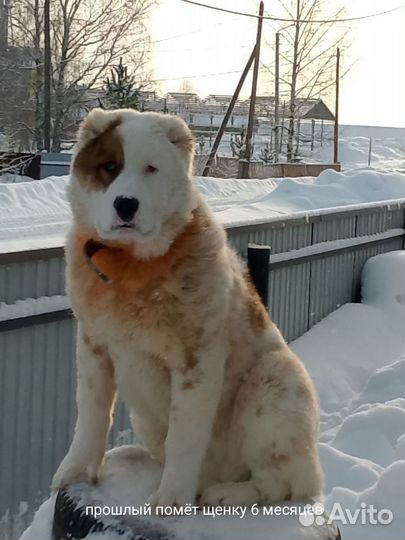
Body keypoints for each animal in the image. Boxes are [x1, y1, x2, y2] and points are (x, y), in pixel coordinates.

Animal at [52, 107, 324, 508]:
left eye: (151, 169)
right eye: (109, 167)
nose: (126, 204)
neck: (132, 265)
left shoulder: (196, 362)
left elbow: (184, 435)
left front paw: (170, 499)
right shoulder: (94, 347)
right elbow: (91, 413)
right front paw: (75, 471)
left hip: (275, 382)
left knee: (281, 485)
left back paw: (225, 494)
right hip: (146, 418)